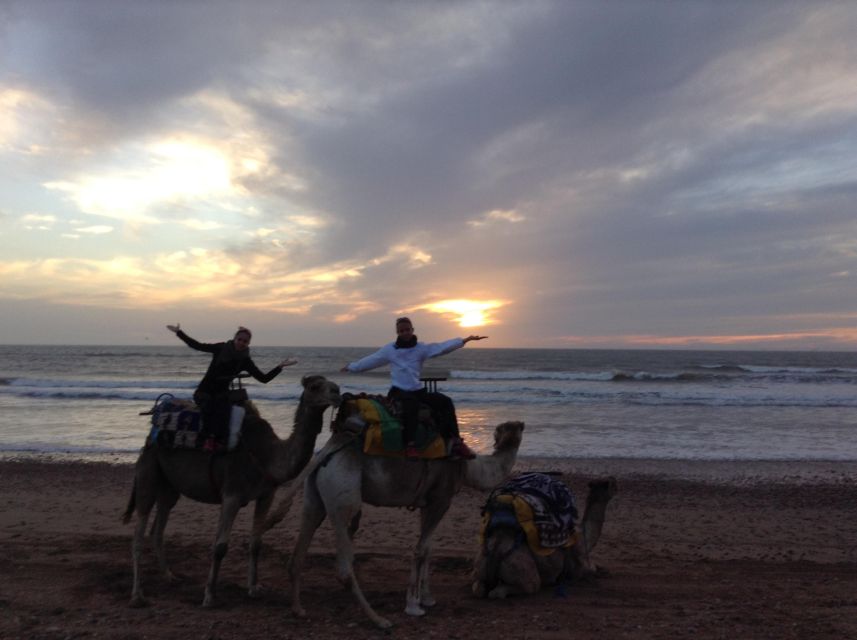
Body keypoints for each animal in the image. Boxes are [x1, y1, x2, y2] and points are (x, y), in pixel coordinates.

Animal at [121, 372, 342, 608]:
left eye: (332, 384)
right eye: (315, 386)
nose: (337, 392)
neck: (267, 455)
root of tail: (150, 434)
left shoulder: (266, 494)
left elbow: (256, 543)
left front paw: (253, 588)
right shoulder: (232, 495)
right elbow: (220, 547)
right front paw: (209, 596)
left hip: (169, 486)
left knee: (158, 526)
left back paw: (169, 576)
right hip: (149, 472)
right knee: (139, 532)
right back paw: (137, 595)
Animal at [264, 418, 524, 628]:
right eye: (510, 428)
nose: (519, 424)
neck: (467, 465)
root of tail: (327, 452)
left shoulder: (428, 503)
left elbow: (429, 549)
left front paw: (427, 598)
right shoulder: (441, 499)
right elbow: (420, 550)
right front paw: (413, 606)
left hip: (314, 496)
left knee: (299, 550)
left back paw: (298, 609)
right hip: (342, 494)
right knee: (344, 564)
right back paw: (379, 620)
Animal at [472, 476, 620, 600]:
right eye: (611, 484)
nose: (616, 482)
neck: (584, 537)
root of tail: (496, 552)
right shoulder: (580, 566)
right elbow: (591, 570)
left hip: (480, 567)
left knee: (478, 588)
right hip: (523, 571)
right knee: (516, 589)